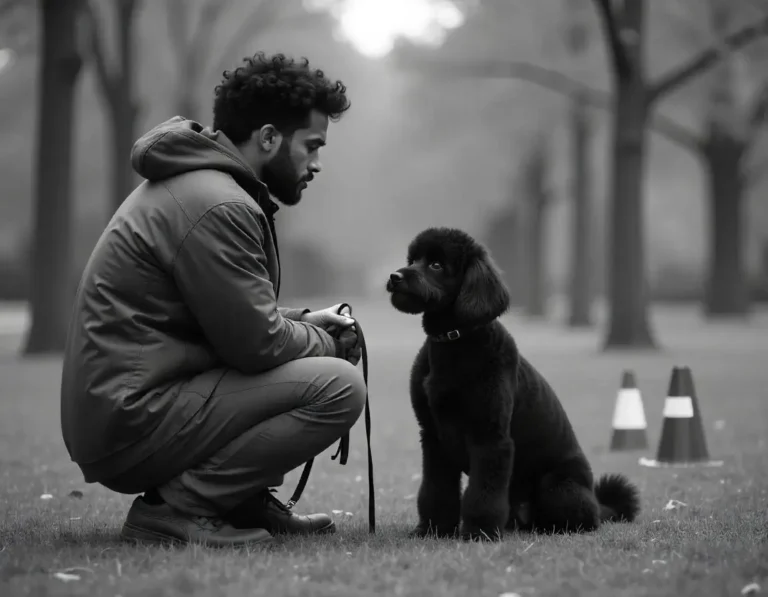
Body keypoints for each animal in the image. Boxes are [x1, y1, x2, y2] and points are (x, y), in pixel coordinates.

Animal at [384, 225, 640, 540]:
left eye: (436, 264)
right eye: (412, 259)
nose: (395, 276)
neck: (455, 342)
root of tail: (599, 504)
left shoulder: (490, 438)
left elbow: (482, 493)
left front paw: (478, 532)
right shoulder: (433, 438)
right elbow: (435, 490)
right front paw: (433, 529)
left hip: (559, 490)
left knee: (581, 520)